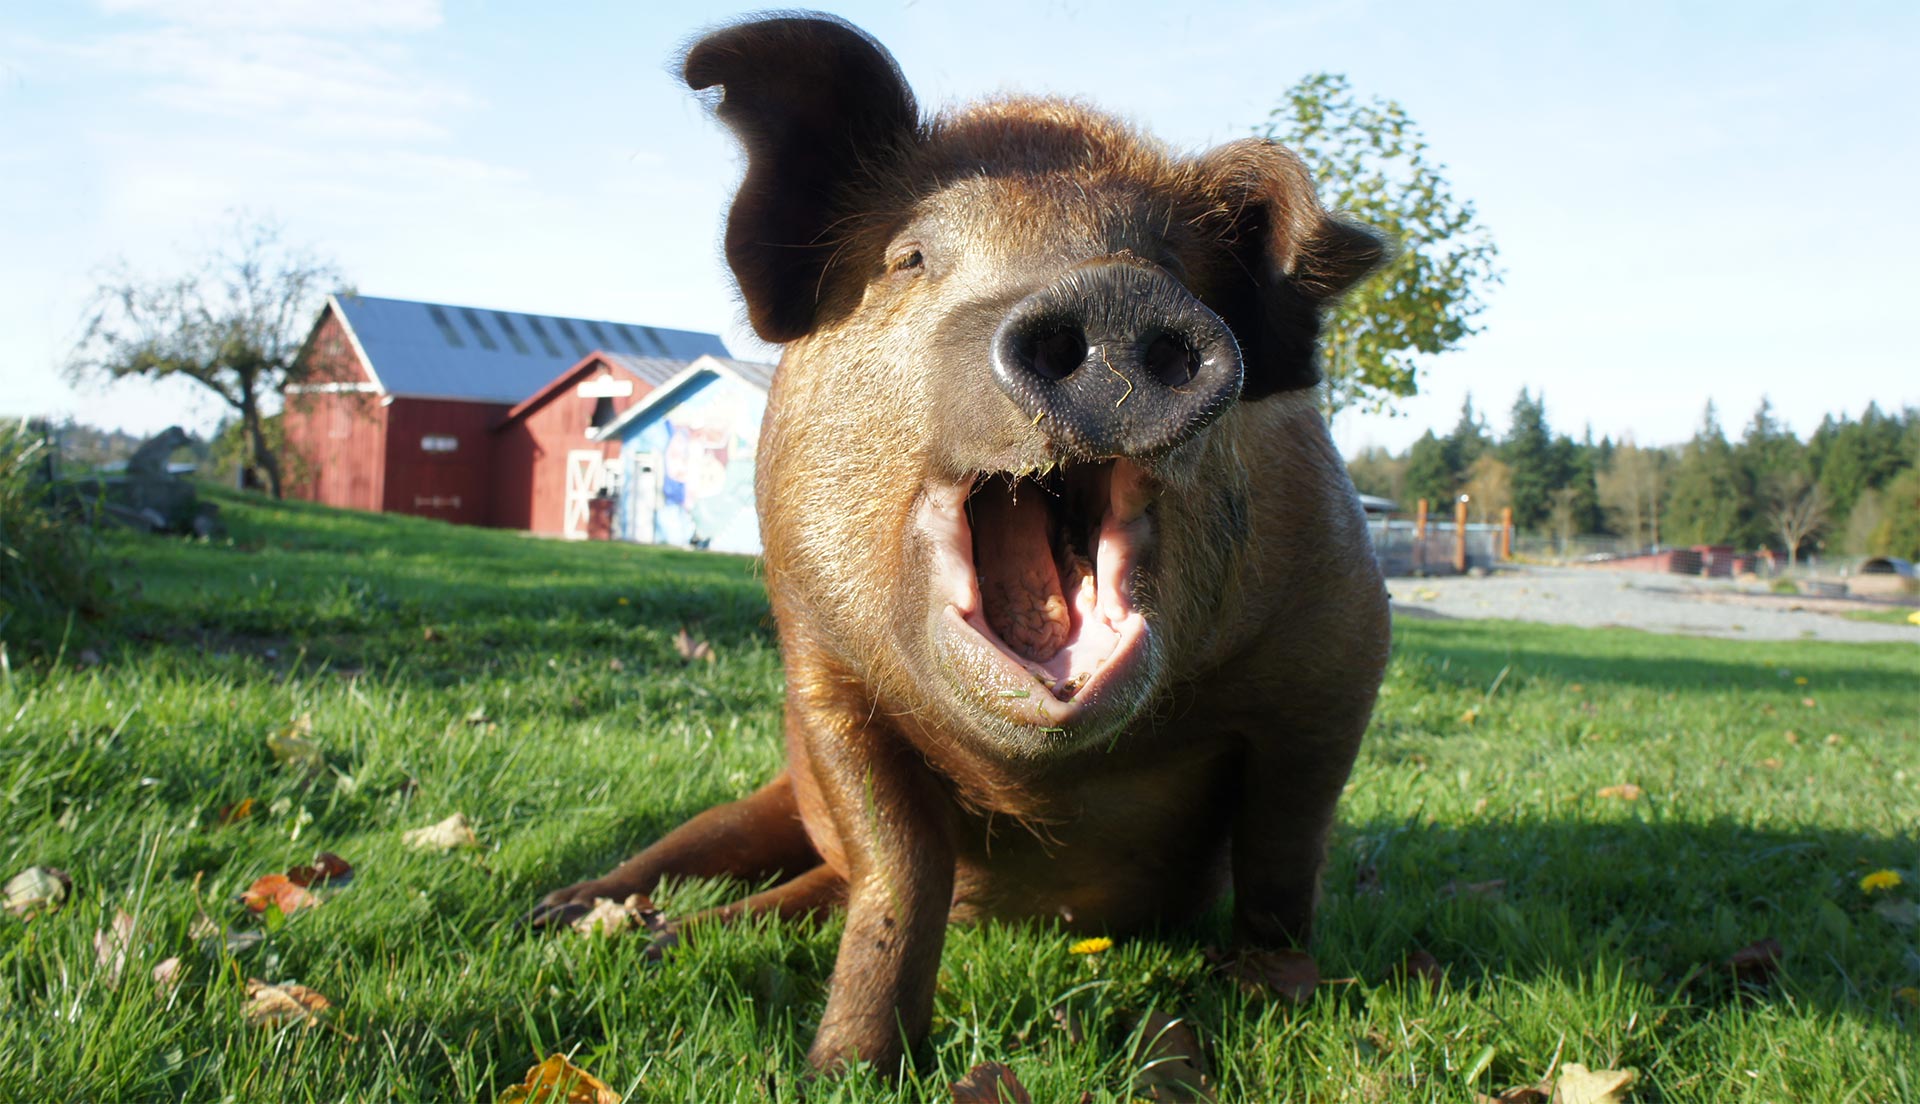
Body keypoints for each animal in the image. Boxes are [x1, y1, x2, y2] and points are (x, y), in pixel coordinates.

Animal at [529, 13, 1391, 1073]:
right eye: (909, 258)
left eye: (1175, 268)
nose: (1111, 296)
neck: (1050, 788)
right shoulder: (820, 670)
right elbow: (900, 870)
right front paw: (845, 1070)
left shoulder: (1341, 653)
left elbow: (1282, 858)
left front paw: (1280, 1006)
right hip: (770, 790)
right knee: (717, 846)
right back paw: (571, 921)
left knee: (810, 892)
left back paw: (645, 940)